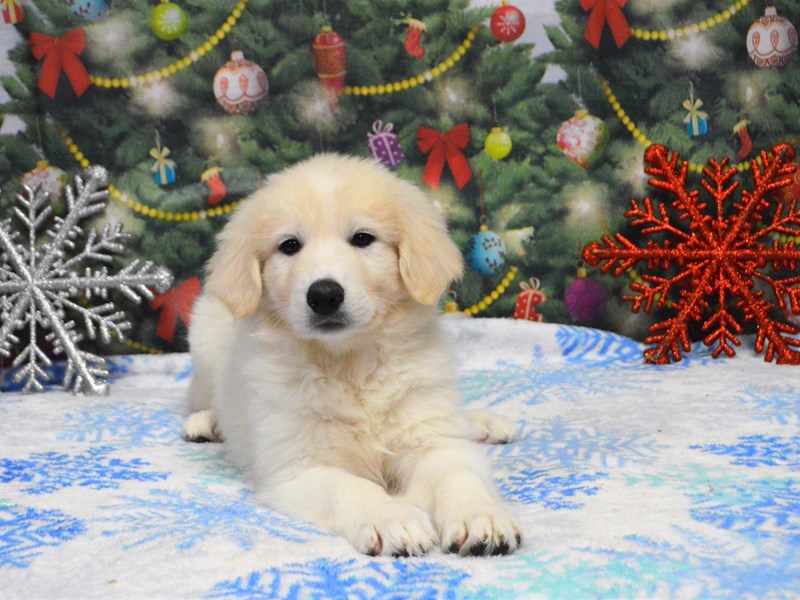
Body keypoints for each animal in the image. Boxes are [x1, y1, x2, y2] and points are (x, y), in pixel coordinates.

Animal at [182, 156, 520, 556]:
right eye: (289, 246)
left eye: (362, 239)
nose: (324, 295)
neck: (350, 361)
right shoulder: (300, 469)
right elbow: (352, 488)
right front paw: (392, 519)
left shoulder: (432, 441)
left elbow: (458, 474)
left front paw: (480, 517)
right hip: (205, 333)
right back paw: (206, 423)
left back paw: (482, 423)